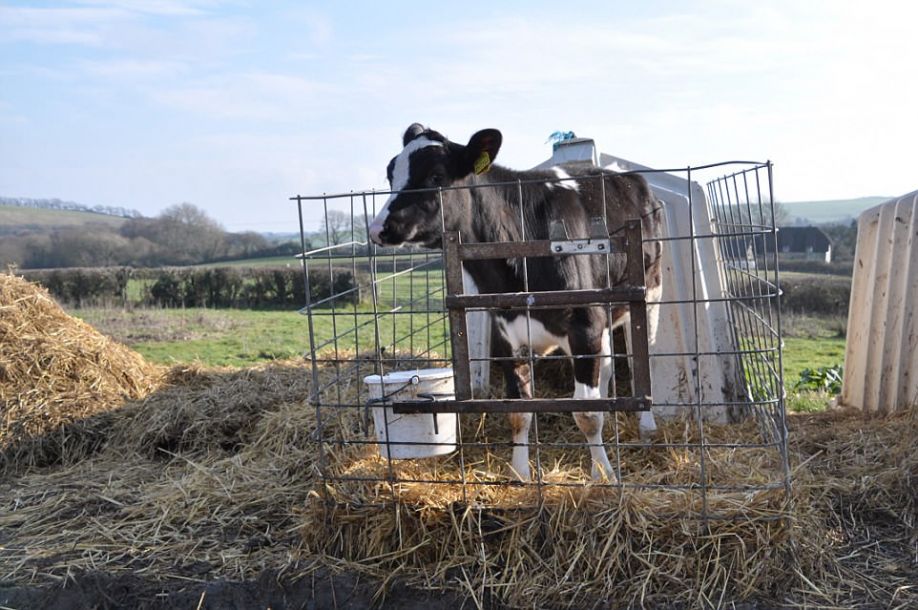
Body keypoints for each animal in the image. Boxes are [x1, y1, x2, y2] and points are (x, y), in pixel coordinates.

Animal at [370, 123, 664, 480]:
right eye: (391, 173)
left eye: (436, 175)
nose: (379, 228)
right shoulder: (506, 333)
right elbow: (518, 411)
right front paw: (520, 474)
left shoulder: (585, 324)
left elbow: (588, 414)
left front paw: (604, 475)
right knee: (607, 367)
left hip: (650, 293)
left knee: (639, 361)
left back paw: (646, 427)